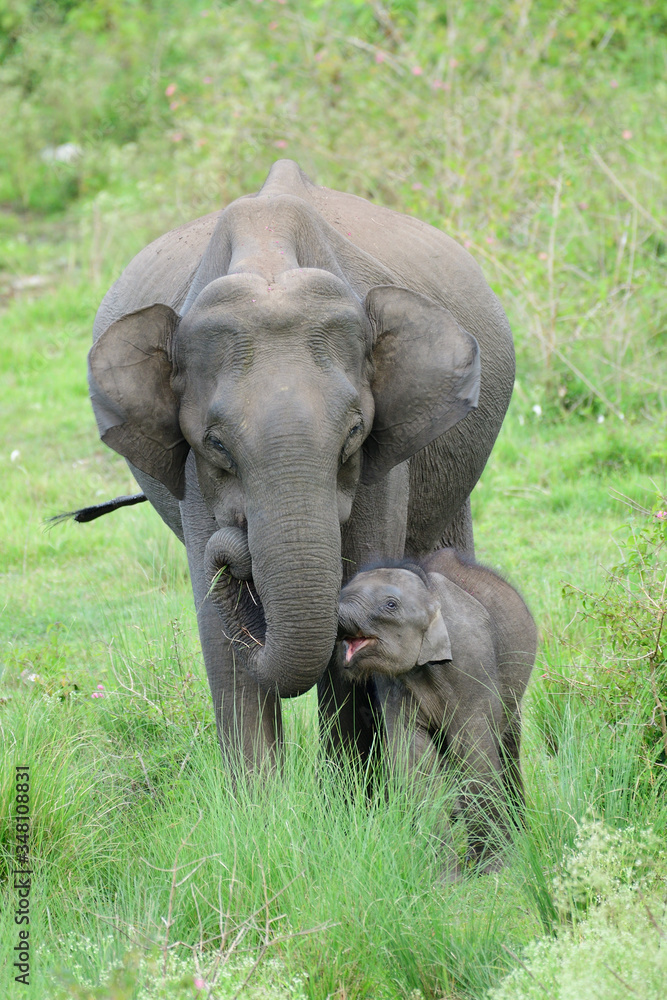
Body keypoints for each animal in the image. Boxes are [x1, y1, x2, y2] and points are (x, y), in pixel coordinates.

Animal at [88, 160, 516, 768]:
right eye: (216, 444)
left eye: (354, 432)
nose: (236, 549)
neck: (270, 259)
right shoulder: (193, 471)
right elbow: (218, 635)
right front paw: (259, 796)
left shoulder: (381, 462)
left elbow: (358, 581)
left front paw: (349, 789)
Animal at [340, 548, 536, 876]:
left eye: (390, 605)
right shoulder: (392, 685)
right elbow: (414, 758)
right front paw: (443, 875)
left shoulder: (471, 664)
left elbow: (474, 752)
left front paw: (493, 868)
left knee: (507, 746)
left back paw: (521, 832)